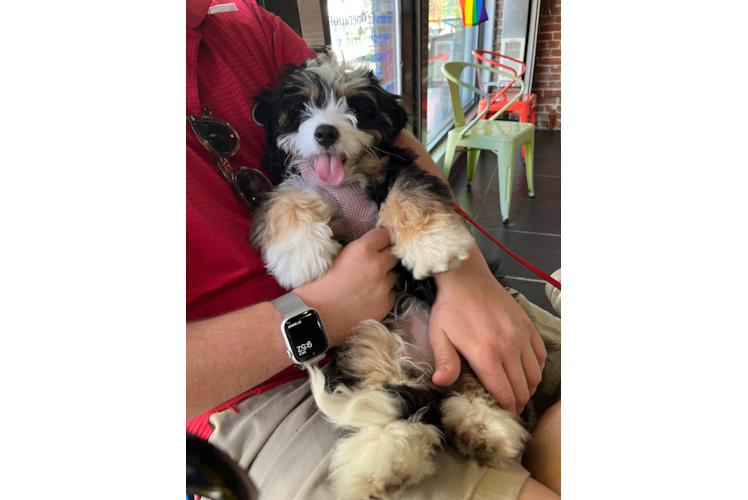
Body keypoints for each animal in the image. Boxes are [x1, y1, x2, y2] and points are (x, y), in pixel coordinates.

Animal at [250, 52, 524, 498]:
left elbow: (408, 194)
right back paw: (384, 457)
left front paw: (432, 245)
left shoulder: (397, 169)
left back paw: (483, 425)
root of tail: (425, 365)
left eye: (356, 106)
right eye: (302, 107)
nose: (325, 132)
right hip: (369, 344)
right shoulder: (292, 183)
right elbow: (286, 198)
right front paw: (301, 256)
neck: (345, 181)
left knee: (469, 385)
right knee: (390, 397)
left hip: (469, 351)